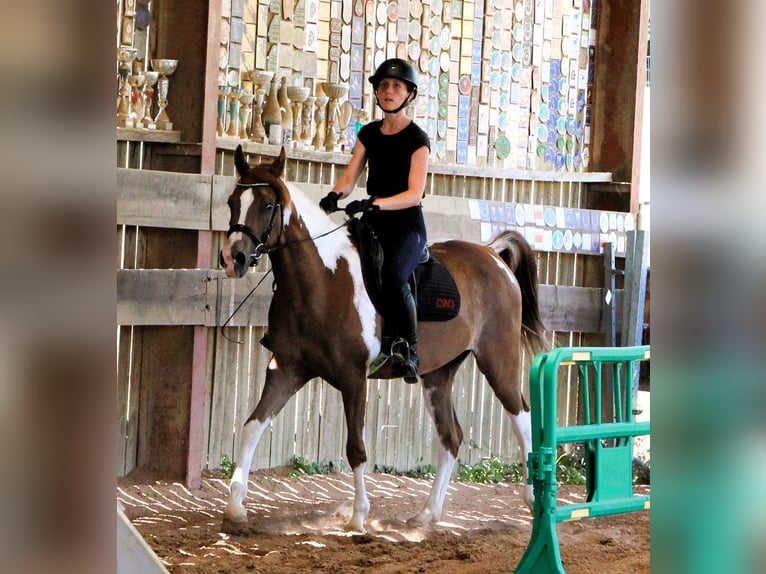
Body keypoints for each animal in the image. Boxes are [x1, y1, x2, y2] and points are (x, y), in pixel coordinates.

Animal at [219, 145, 547, 532]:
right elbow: (251, 427)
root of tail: (494, 256)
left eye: (269, 205)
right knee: (451, 437)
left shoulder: (353, 378)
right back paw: (427, 515)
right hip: (438, 374)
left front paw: (359, 517)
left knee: (522, 419)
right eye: (232, 202)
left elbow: (356, 448)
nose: (234, 258)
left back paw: (533, 501)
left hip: (499, 360)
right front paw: (235, 509)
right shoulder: (286, 371)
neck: (321, 281)